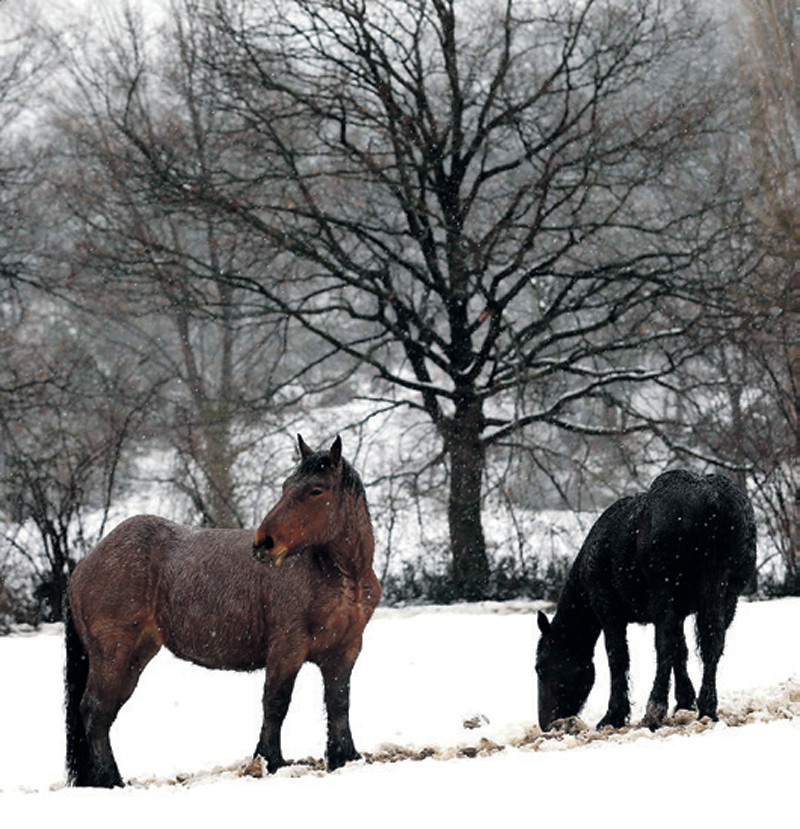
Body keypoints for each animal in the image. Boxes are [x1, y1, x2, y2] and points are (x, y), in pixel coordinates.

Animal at [66, 436, 382, 784]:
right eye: (286, 486)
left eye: (316, 490)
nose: (265, 543)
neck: (341, 576)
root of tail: (85, 564)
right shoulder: (287, 649)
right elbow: (276, 703)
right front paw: (269, 761)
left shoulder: (345, 650)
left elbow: (339, 703)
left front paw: (346, 757)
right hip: (112, 654)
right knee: (95, 711)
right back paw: (112, 780)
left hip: (135, 656)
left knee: (105, 712)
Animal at [536, 472, 756, 732]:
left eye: (540, 667)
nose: (545, 723)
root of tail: (714, 499)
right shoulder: (680, 612)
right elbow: (681, 651)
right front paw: (685, 702)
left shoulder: (610, 614)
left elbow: (618, 658)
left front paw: (614, 715)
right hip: (726, 595)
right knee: (712, 643)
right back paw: (707, 709)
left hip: (667, 595)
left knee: (665, 646)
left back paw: (654, 710)